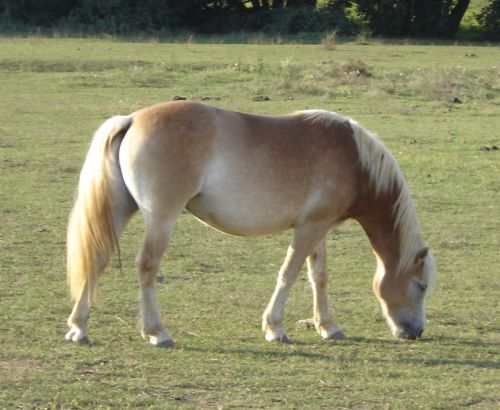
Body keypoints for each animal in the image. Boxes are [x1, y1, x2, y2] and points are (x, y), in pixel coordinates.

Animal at [65, 100, 434, 346]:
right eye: (421, 286)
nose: (415, 332)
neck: (355, 160)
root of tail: (130, 120)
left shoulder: (318, 227)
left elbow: (319, 277)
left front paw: (328, 326)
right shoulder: (310, 228)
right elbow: (289, 274)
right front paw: (274, 327)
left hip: (118, 211)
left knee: (96, 259)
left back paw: (79, 328)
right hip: (161, 219)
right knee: (146, 267)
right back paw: (157, 332)